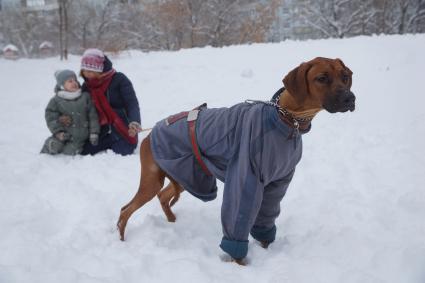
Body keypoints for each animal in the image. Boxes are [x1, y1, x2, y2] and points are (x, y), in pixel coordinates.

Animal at [117, 57, 354, 264]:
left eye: (345, 76)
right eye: (321, 78)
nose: (350, 98)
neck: (285, 118)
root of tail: (150, 133)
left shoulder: (277, 184)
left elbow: (266, 219)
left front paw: (265, 248)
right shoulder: (245, 178)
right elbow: (239, 219)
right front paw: (239, 264)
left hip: (186, 174)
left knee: (162, 196)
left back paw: (173, 222)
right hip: (154, 180)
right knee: (126, 209)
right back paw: (121, 239)